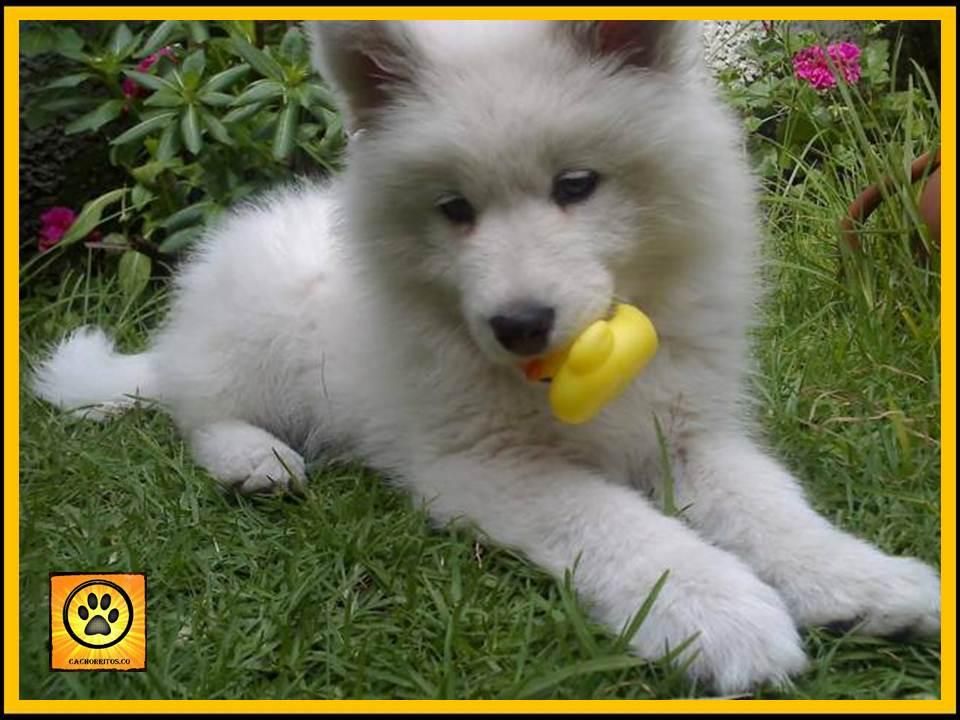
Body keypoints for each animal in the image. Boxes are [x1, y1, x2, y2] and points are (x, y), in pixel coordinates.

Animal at [33, 22, 940, 696]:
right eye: (454, 209)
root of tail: (178, 334)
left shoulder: (689, 433)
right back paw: (255, 459)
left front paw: (862, 582)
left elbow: (774, 508)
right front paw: (721, 614)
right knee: (198, 410)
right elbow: (624, 529)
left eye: (576, 185)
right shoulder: (487, 464)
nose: (519, 325)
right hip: (261, 338)